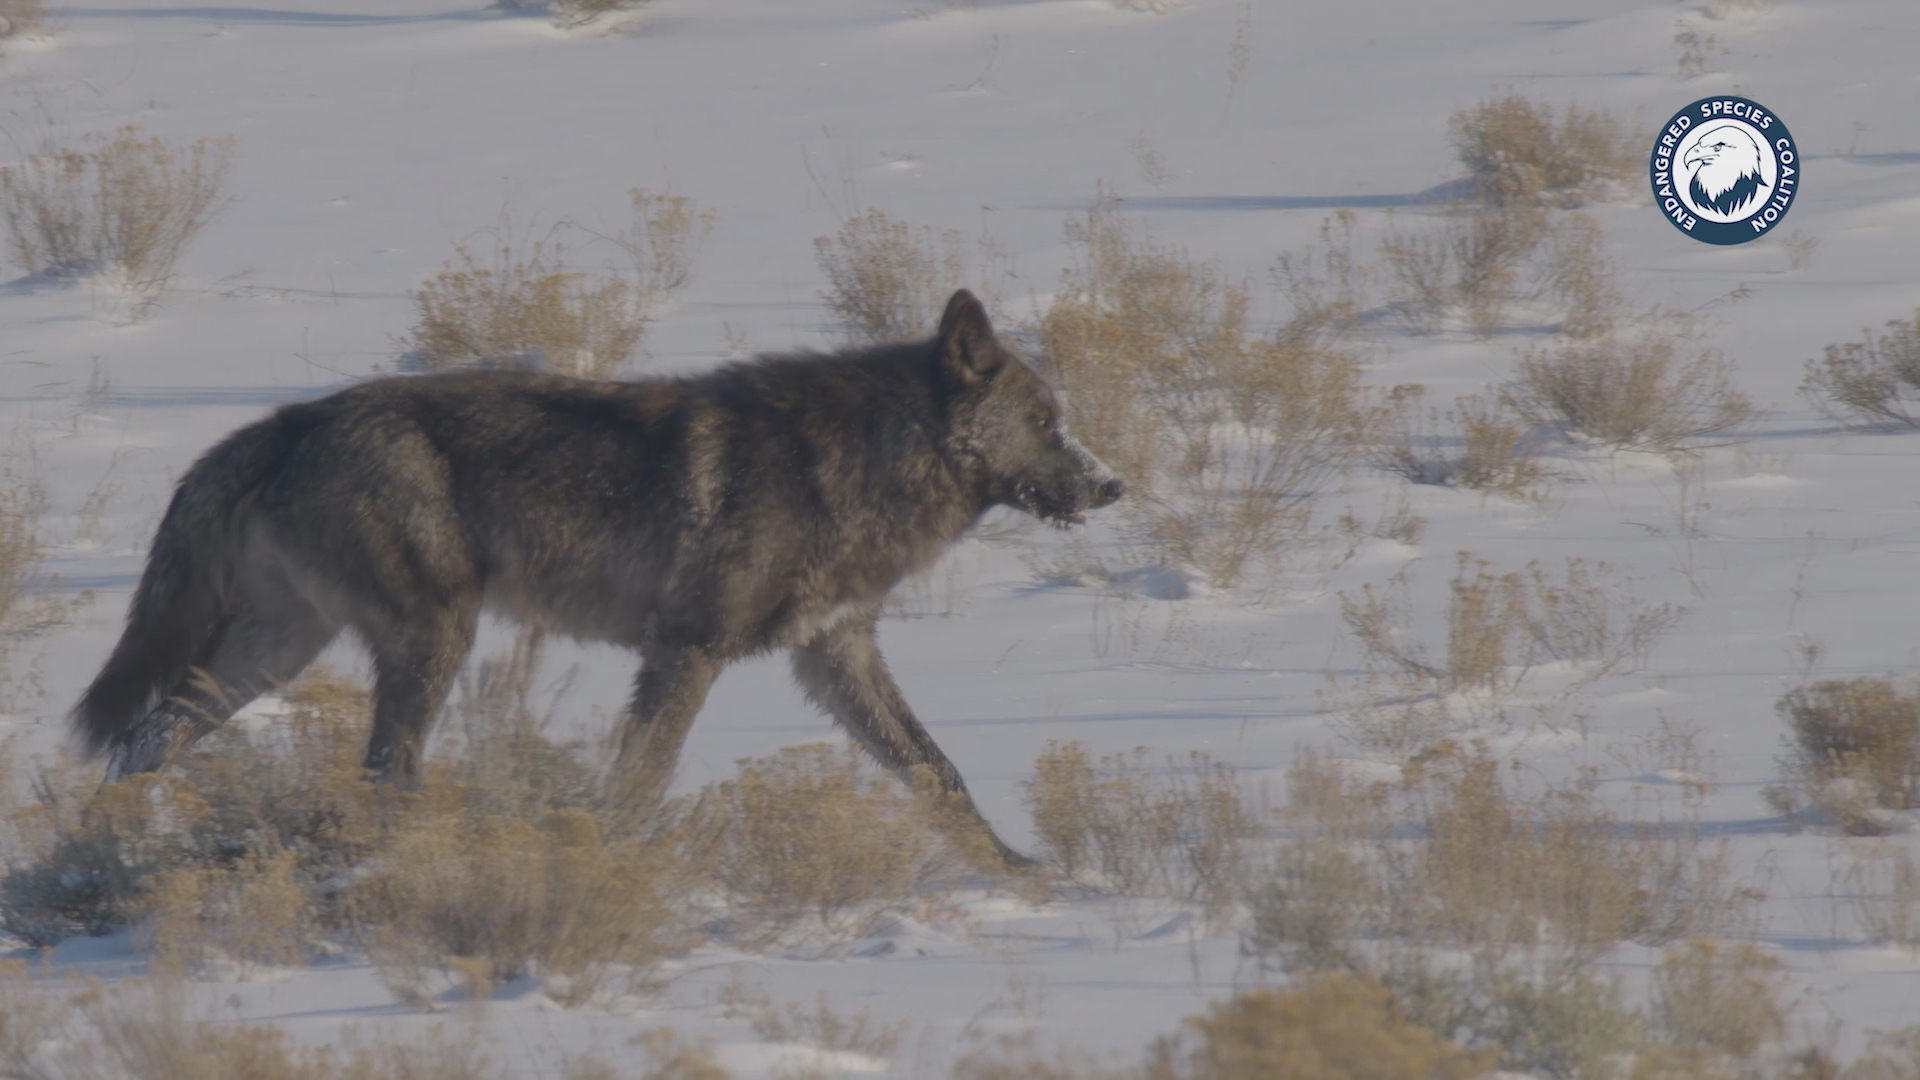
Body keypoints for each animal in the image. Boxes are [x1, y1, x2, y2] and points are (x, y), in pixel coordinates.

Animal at [78, 288, 1121, 864]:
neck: (856, 465)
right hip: (429, 642)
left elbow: (939, 773)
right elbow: (638, 784)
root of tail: (294, 418)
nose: (1113, 486)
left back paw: (94, 853)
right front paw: (612, 868)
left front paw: (1017, 874)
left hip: (275, 654)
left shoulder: (836, 655)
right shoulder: (686, 652)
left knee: (143, 739)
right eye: (1047, 425)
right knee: (383, 775)